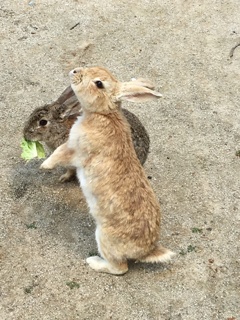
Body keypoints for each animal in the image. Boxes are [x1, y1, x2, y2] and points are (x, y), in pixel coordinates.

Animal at [40, 66, 173, 274]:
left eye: (99, 83)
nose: (75, 71)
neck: (103, 114)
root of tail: (146, 251)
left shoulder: (76, 150)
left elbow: (60, 154)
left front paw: (44, 165)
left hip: (104, 238)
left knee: (120, 268)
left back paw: (93, 262)